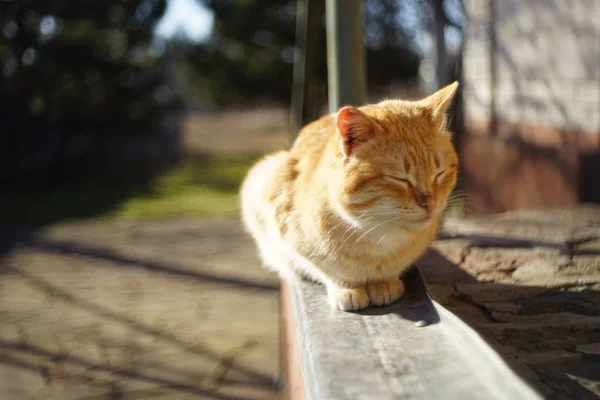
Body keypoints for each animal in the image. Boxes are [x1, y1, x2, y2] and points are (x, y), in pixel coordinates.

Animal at [241, 83, 458, 310]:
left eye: (439, 173)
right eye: (399, 178)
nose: (430, 203)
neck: (376, 231)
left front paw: (384, 283)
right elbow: (330, 272)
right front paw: (347, 289)